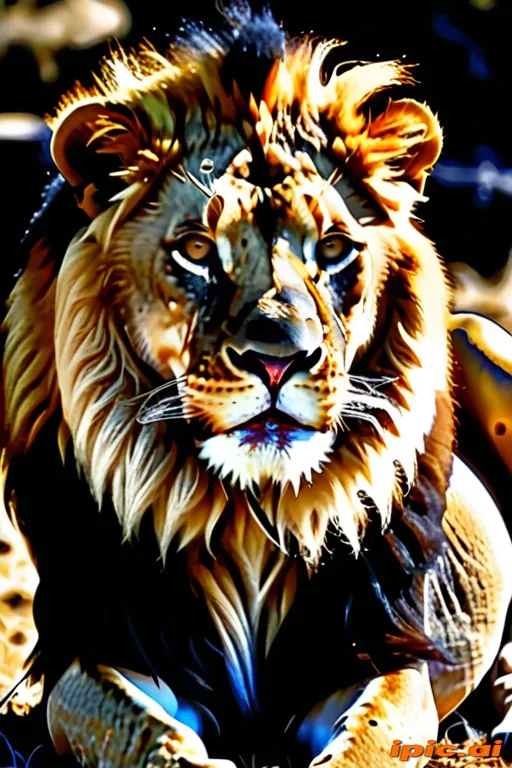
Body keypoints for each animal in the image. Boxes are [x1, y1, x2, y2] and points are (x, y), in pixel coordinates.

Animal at [1, 7, 512, 767]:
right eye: (196, 250)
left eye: (333, 249)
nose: (279, 359)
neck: (245, 507)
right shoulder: (104, 647)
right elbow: (148, 731)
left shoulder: (380, 654)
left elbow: (363, 741)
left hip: (482, 334)